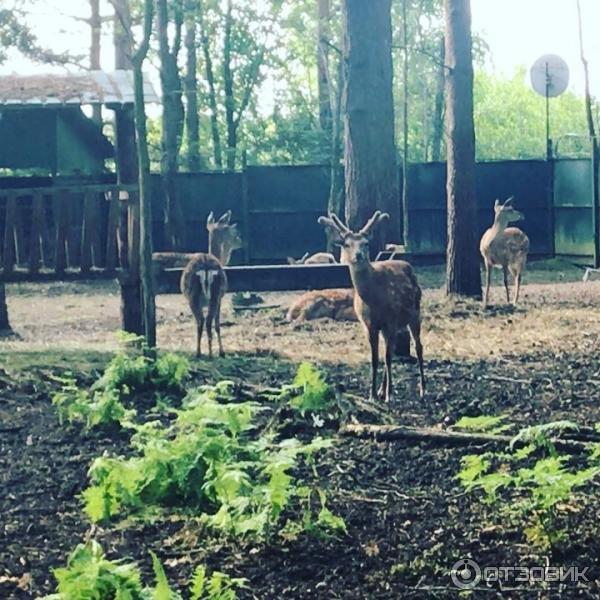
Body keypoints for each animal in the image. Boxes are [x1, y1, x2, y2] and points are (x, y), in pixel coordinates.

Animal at [316, 211, 424, 404]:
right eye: (347, 244)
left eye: (366, 243)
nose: (358, 255)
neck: (374, 300)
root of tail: (408, 266)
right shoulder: (369, 325)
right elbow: (375, 358)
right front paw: (372, 394)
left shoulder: (390, 321)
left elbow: (387, 358)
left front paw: (389, 395)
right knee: (392, 349)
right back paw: (382, 390)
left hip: (414, 312)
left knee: (419, 347)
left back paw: (422, 391)